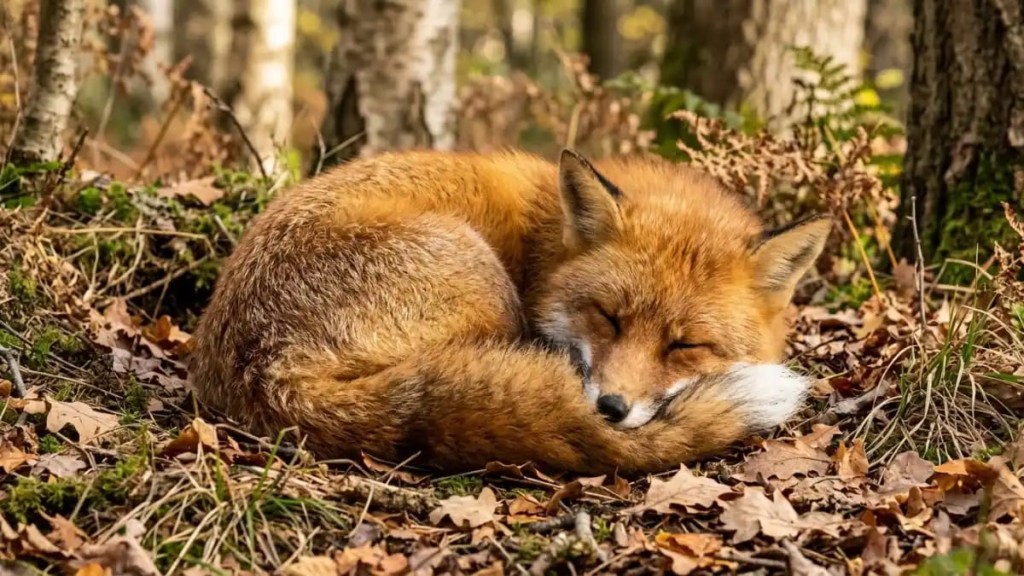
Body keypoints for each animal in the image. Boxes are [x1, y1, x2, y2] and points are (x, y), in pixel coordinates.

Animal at [189, 148, 830, 475]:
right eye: (608, 316)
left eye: (685, 345)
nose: (610, 409)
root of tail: (265, 373)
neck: (544, 244)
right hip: (484, 281)